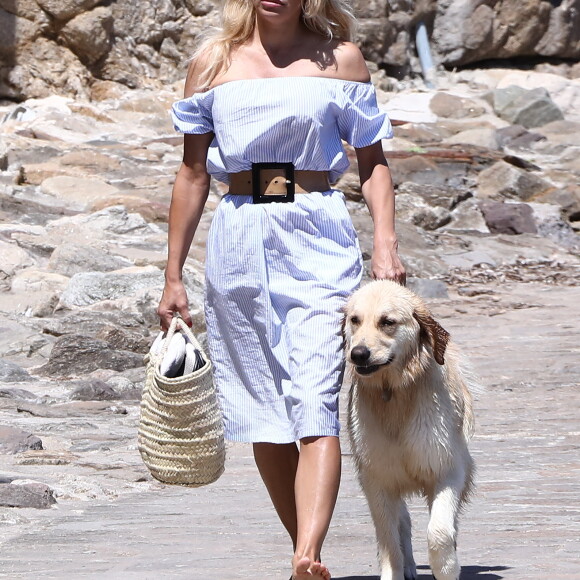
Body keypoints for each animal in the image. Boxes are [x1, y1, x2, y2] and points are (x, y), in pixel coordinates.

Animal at [344, 280, 476, 580]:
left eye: (387, 322)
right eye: (354, 320)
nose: (358, 354)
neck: (394, 393)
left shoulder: (447, 468)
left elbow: (439, 532)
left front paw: (447, 568)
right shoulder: (376, 479)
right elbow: (388, 539)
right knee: (401, 523)